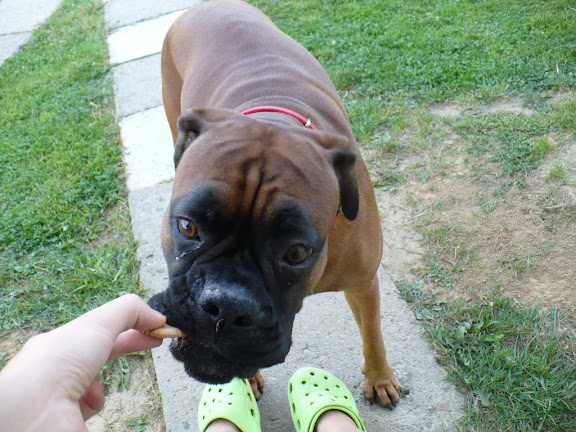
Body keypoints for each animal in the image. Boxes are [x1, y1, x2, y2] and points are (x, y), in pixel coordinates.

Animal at [147, 0, 404, 408]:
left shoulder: (363, 283)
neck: (274, 114)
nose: (226, 305)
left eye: (297, 252)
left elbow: (373, 333)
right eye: (187, 226)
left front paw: (379, 378)